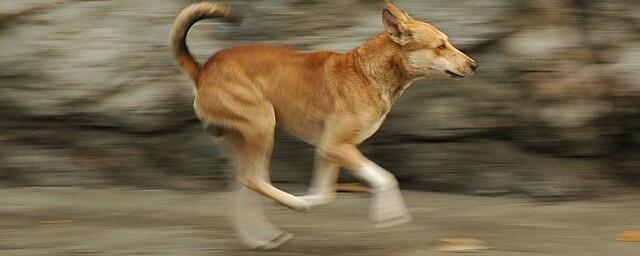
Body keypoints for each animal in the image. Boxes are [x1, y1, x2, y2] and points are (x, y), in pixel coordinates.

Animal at [170, 0, 476, 248]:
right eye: (440, 46)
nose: (474, 65)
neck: (366, 73)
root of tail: (202, 70)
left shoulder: (329, 150)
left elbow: (324, 193)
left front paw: (308, 201)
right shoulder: (335, 146)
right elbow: (386, 178)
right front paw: (388, 213)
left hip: (243, 142)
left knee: (244, 190)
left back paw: (261, 239)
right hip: (263, 126)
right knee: (253, 179)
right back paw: (287, 208)